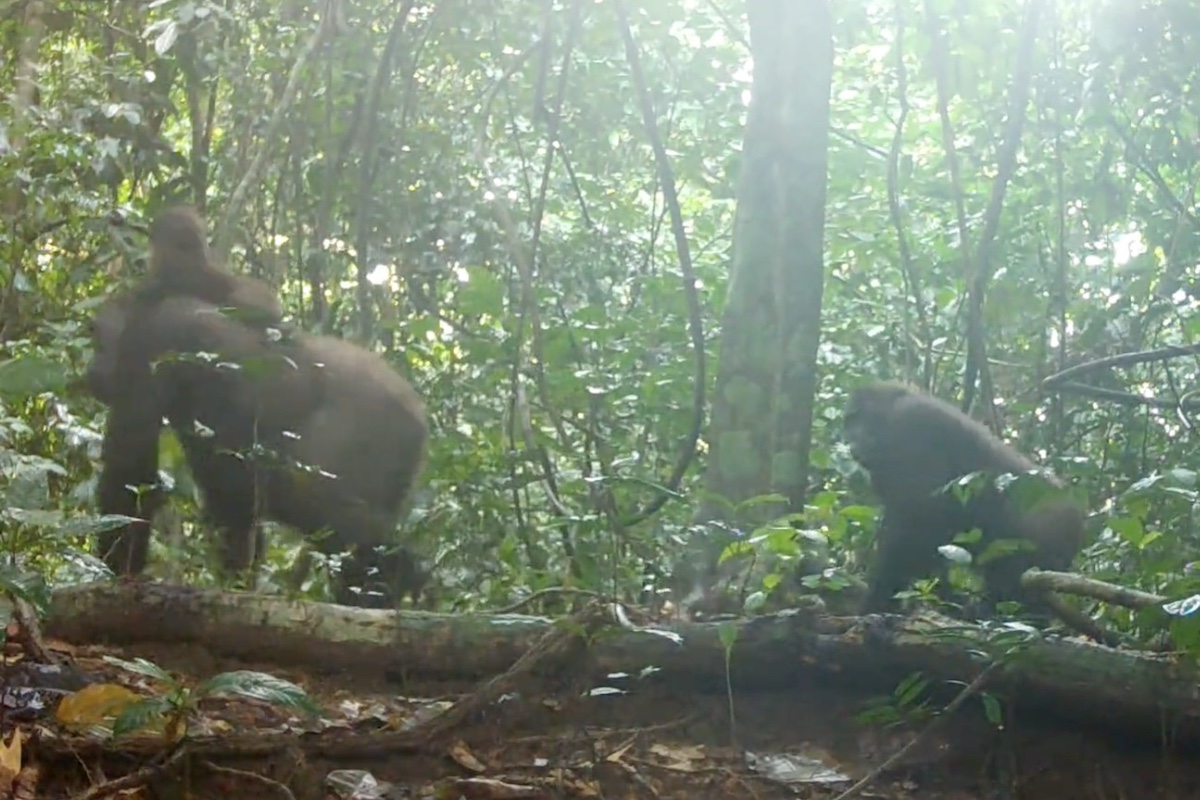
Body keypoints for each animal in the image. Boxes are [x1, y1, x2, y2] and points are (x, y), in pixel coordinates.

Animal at [87, 291, 432, 609]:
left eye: (98, 339)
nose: (93, 368)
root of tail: (417, 410)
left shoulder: (152, 341)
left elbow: (130, 471)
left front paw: (118, 574)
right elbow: (229, 501)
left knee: (317, 502)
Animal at [844, 381, 1089, 614]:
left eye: (859, 418)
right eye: (850, 422)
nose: (852, 439)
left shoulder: (912, 422)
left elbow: (916, 525)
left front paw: (876, 602)